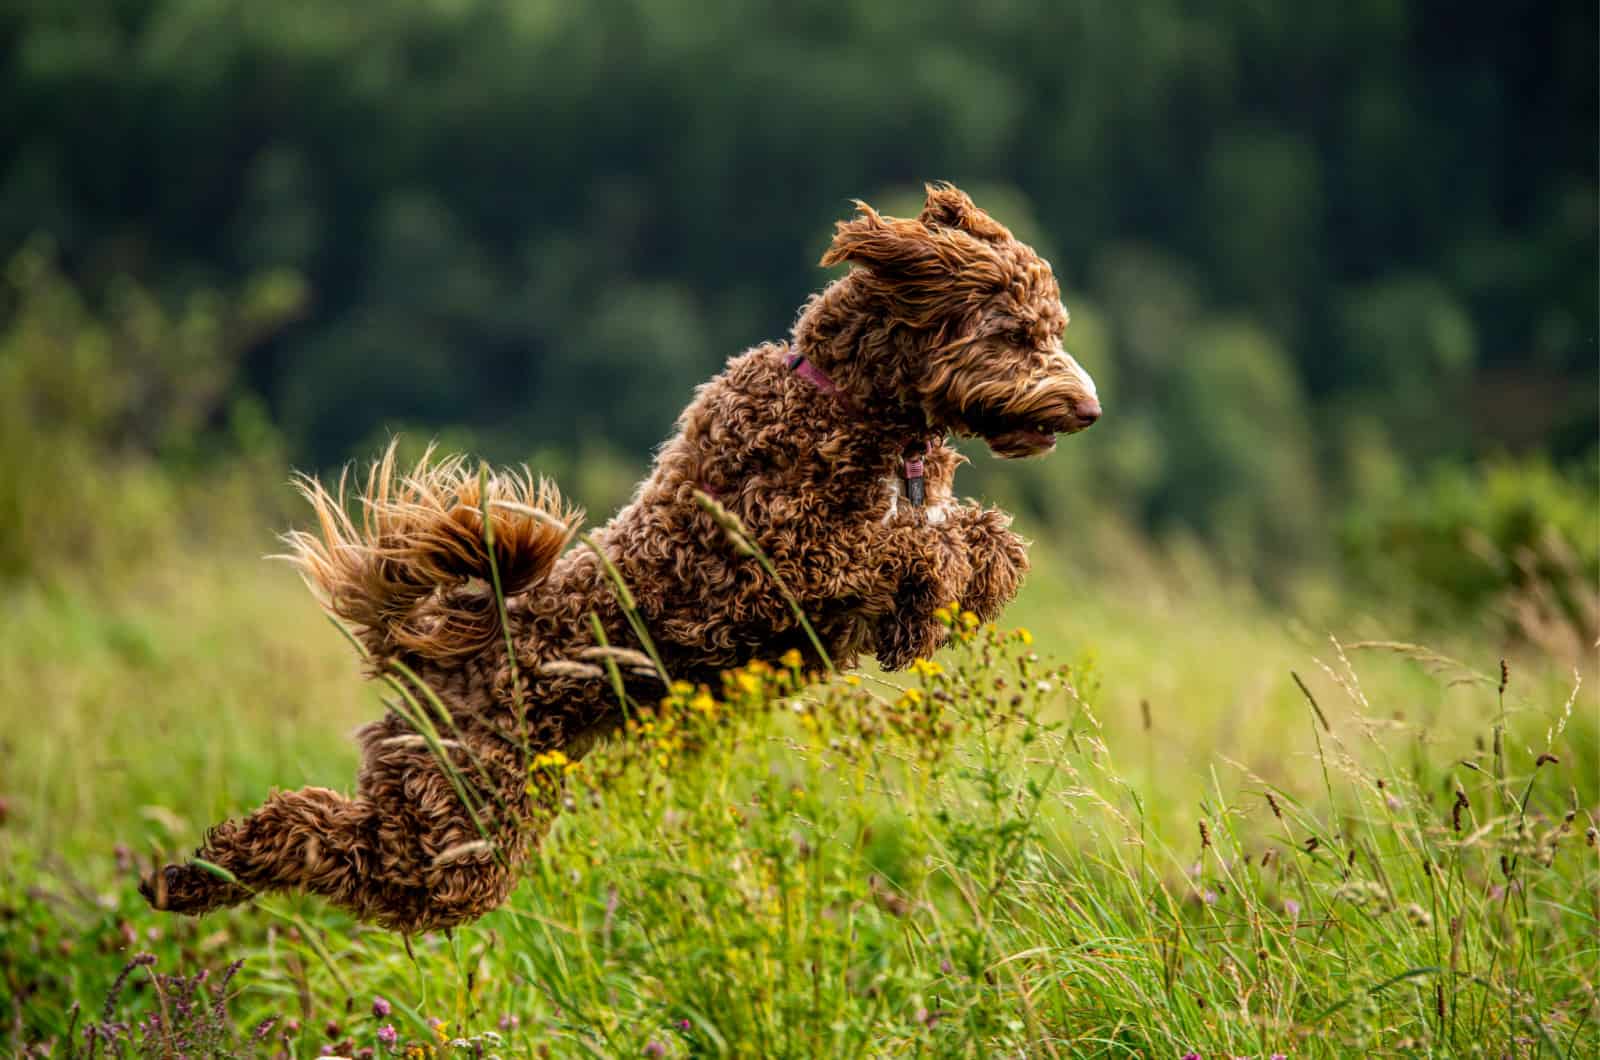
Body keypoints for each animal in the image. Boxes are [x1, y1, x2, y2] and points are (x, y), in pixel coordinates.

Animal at [144, 186, 1100, 935]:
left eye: (1050, 328)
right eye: (1018, 333)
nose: (1089, 410)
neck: (852, 404)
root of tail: (455, 642)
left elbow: (986, 538)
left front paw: (954, 596)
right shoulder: (785, 558)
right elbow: (918, 542)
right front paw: (929, 599)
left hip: (457, 816)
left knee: (340, 842)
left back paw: (191, 878)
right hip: (462, 819)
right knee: (318, 833)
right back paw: (194, 871)